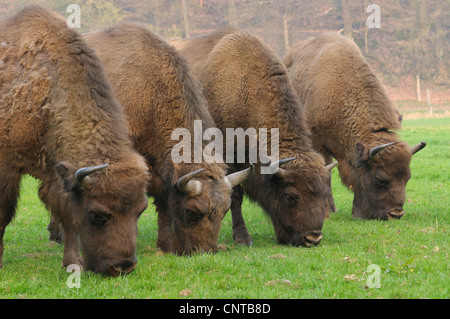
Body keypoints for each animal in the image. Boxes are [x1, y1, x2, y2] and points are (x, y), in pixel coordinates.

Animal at [0, 5, 151, 276]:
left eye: (141, 210)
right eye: (97, 214)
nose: (122, 267)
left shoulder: (58, 173)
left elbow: (67, 215)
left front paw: (73, 263)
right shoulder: (7, 167)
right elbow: (3, 214)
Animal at [174, 28, 336, 248]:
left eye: (322, 193)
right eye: (291, 195)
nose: (312, 238)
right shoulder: (229, 161)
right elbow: (235, 196)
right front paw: (243, 238)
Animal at [284, 33, 426, 221]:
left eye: (407, 177)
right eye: (380, 179)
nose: (395, 214)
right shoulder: (318, 144)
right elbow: (325, 175)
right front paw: (326, 212)